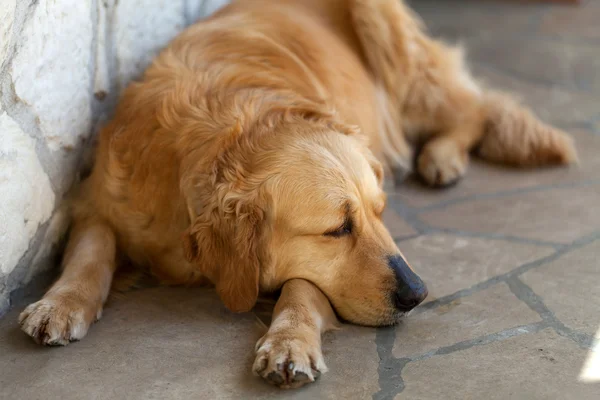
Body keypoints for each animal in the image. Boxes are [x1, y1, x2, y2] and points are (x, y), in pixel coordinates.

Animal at [18, 0, 576, 388]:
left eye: (380, 213)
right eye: (338, 229)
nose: (418, 293)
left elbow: (303, 289)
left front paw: (290, 341)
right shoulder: (96, 198)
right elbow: (90, 252)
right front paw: (59, 303)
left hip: (392, 41)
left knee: (475, 110)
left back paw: (443, 156)